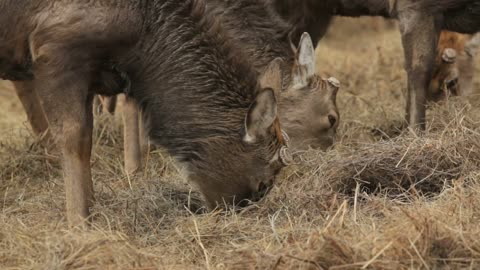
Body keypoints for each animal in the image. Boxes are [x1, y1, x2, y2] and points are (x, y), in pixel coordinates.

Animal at [0, 0, 288, 227]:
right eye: (264, 184)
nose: (235, 217)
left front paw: (93, 207)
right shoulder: (54, 52)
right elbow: (75, 139)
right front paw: (79, 223)